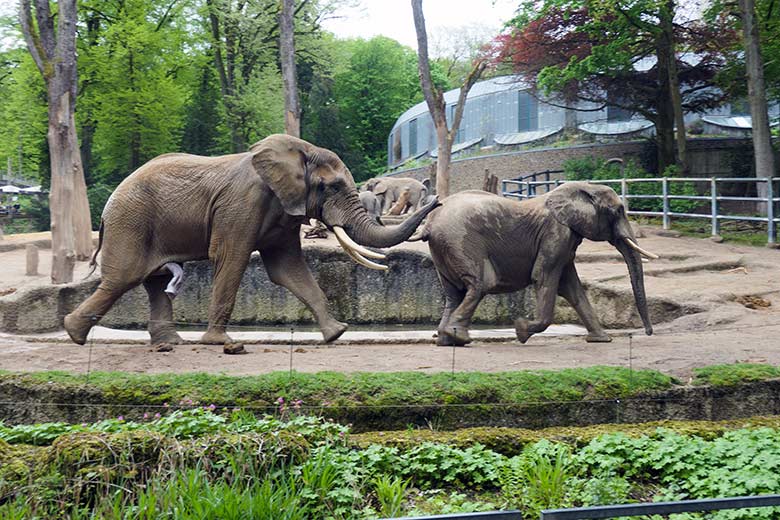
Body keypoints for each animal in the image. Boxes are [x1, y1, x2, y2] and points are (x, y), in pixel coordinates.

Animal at [66, 133, 438, 346]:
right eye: (331, 187)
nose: (437, 201)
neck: (298, 151)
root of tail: (110, 201)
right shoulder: (241, 204)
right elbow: (231, 258)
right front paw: (219, 342)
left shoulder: (284, 212)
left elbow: (288, 268)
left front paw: (337, 333)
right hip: (131, 221)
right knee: (124, 278)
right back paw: (74, 333)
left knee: (153, 281)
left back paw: (169, 343)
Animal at [414, 182, 660, 346]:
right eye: (618, 211)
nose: (649, 333)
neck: (582, 188)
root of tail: (431, 223)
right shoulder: (556, 233)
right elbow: (543, 277)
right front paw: (521, 331)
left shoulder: (566, 239)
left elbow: (572, 287)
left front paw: (601, 339)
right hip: (461, 241)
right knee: (480, 284)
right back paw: (459, 337)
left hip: (445, 249)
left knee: (453, 293)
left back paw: (446, 339)